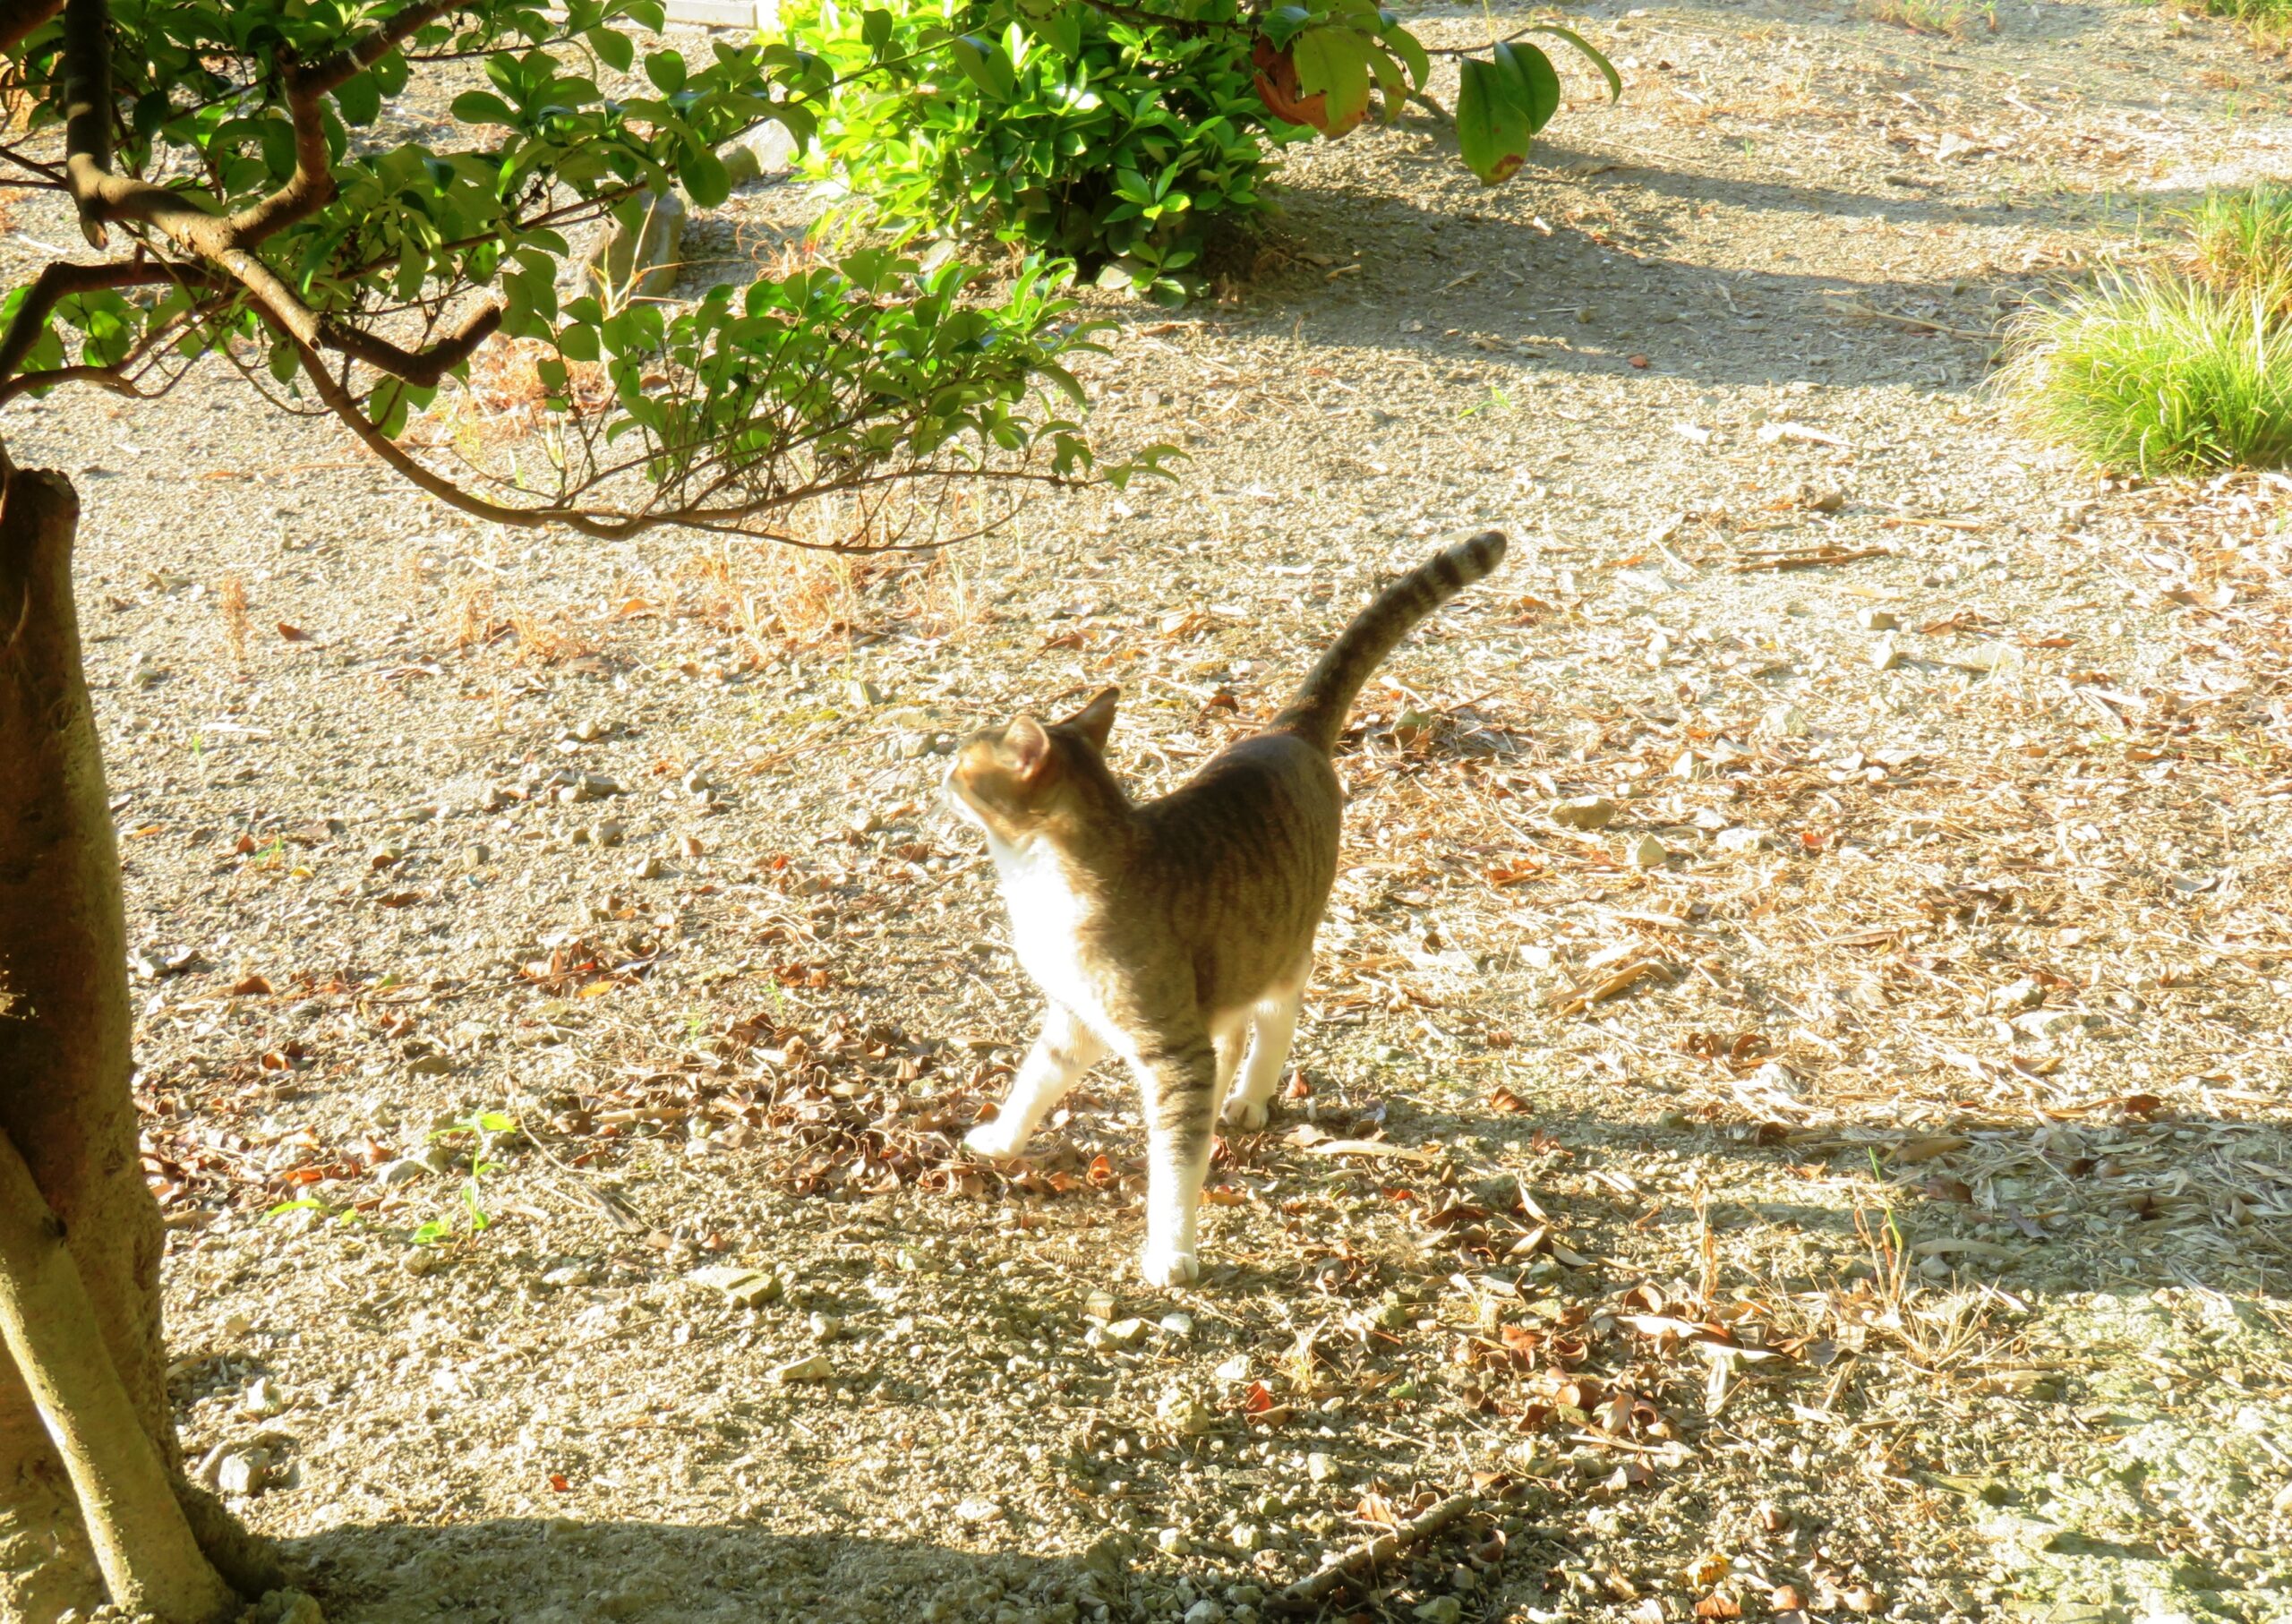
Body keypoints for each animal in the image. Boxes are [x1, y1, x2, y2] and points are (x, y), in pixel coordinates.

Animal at [944, 529, 1503, 1282]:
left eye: (964, 765)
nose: (941, 768)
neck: (1043, 881)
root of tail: (1287, 732)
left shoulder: (1172, 1051)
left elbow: (1176, 1162)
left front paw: (1171, 1250)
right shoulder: (1075, 1016)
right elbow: (1034, 1079)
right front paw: (1003, 1140)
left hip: (1284, 948)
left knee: (1274, 1020)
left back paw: (1247, 1098)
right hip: (1237, 954)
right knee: (1234, 1026)